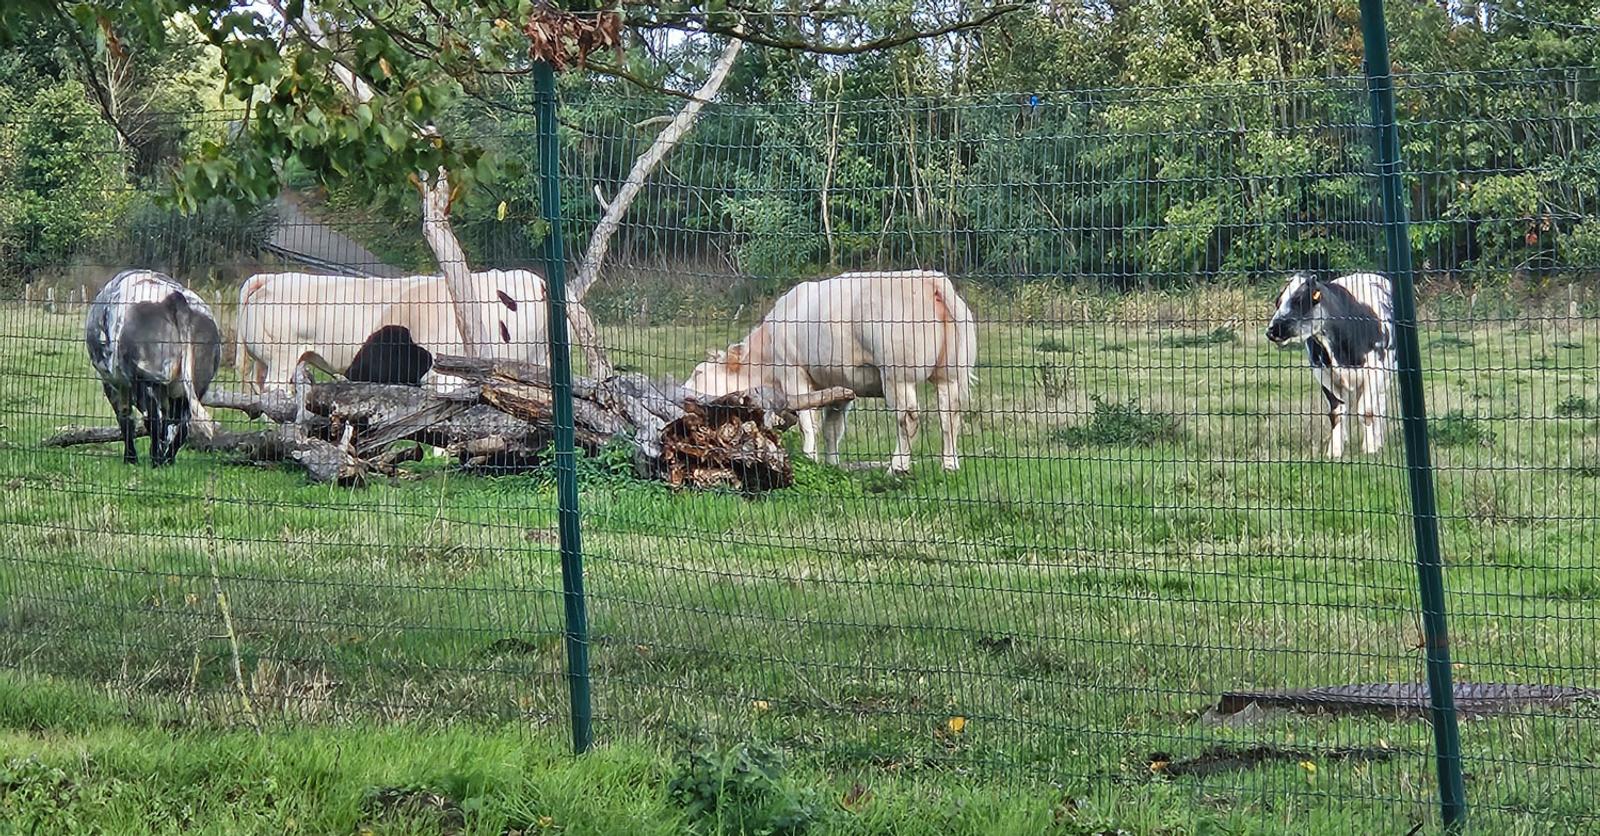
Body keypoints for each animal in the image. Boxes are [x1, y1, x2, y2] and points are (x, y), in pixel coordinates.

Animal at [85, 270, 223, 467]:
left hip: (146, 378)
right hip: (194, 385)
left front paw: (130, 459)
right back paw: (167, 461)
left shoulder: (112, 382)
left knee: (154, 420)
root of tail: (173, 298)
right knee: (181, 425)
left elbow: (125, 417)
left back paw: (156, 461)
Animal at [684, 270, 977, 473]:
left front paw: (810, 458)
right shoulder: (839, 386)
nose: (684, 392)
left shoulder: (793, 374)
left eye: (699, 372)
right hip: (951, 373)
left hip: (898, 374)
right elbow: (832, 428)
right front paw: (832, 463)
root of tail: (930, 280)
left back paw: (898, 467)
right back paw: (949, 465)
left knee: (909, 418)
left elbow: (808, 423)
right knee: (950, 415)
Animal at [1266, 271, 1394, 458]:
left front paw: (1370, 449)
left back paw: (1378, 440)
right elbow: (1336, 413)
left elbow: (1367, 411)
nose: (1272, 329)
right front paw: (1334, 451)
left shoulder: (1375, 370)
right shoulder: (1323, 373)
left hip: (1385, 377)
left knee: (1380, 406)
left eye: (1299, 299)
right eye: (1278, 302)